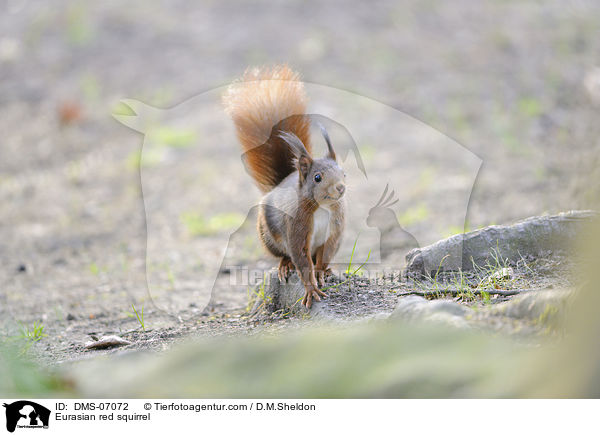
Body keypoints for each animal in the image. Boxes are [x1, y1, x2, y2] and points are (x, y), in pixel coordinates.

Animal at [224, 65, 346, 310]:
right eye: (317, 177)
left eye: (344, 172)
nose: (340, 187)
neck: (322, 208)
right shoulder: (296, 225)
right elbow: (301, 257)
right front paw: (311, 290)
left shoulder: (335, 229)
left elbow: (326, 251)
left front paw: (321, 271)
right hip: (267, 235)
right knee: (284, 255)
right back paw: (285, 264)